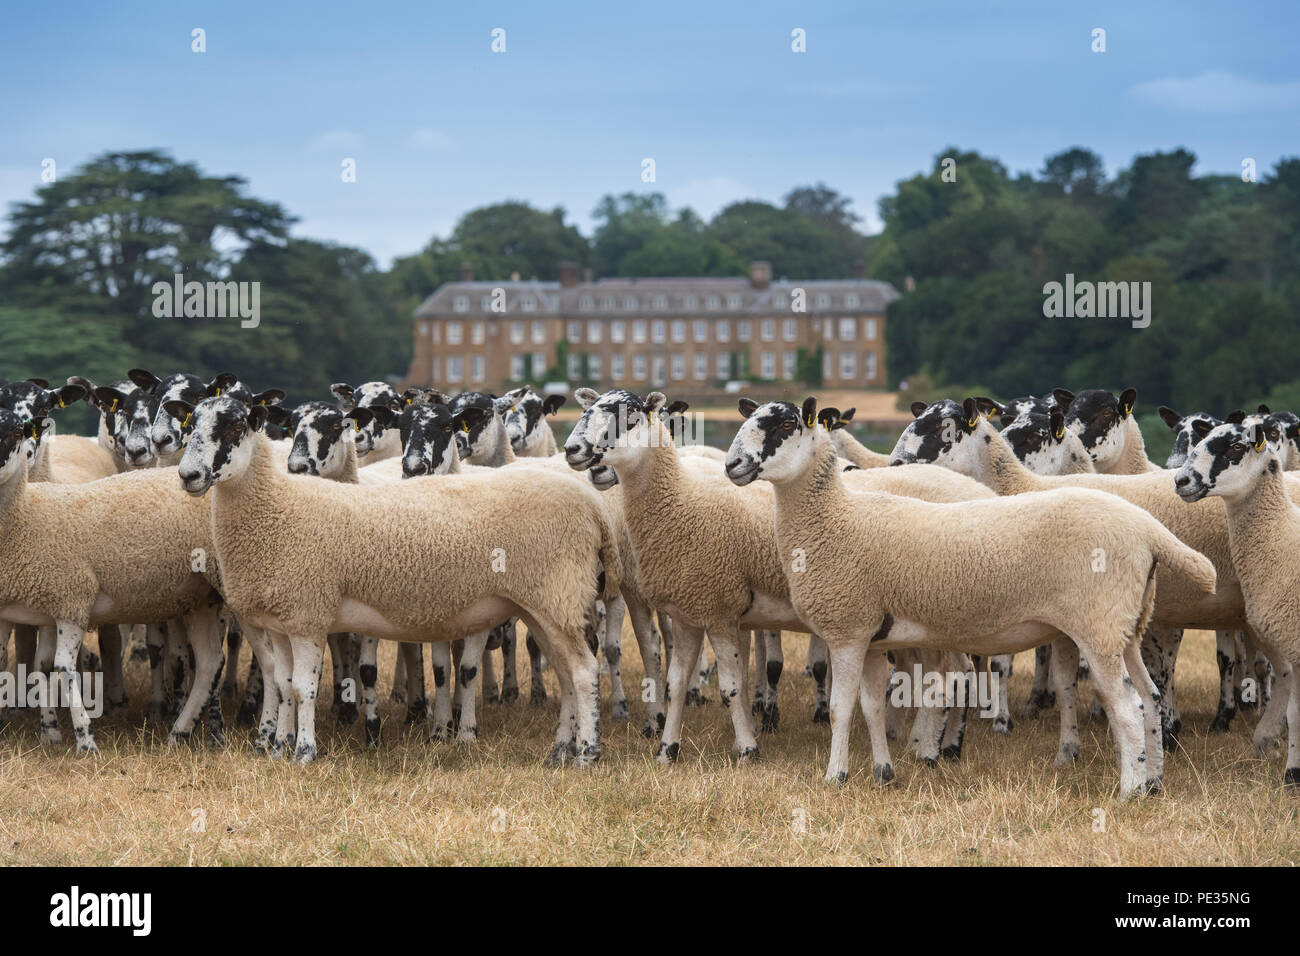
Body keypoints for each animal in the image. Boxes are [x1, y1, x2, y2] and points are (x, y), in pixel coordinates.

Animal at [170, 392, 621, 764]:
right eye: (190, 425)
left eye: (234, 427)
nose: (188, 476)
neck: (275, 508)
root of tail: (592, 506)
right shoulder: (280, 620)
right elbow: (281, 685)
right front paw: (278, 748)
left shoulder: (308, 614)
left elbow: (303, 688)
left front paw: (304, 752)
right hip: (545, 605)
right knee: (566, 673)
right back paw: (560, 751)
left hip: (558, 594)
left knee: (584, 672)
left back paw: (587, 754)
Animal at [728, 395, 1211, 801]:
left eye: (785, 425)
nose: (732, 463)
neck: (833, 517)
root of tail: (1147, 530)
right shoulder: (871, 635)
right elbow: (872, 707)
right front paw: (883, 772)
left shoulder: (847, 629)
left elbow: (841, 709)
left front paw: (836, 776)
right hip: (1126, 626)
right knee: (1150, 698)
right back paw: (1153, 782)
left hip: (1099, 626)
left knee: (1127, 707)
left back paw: (1129, 790)